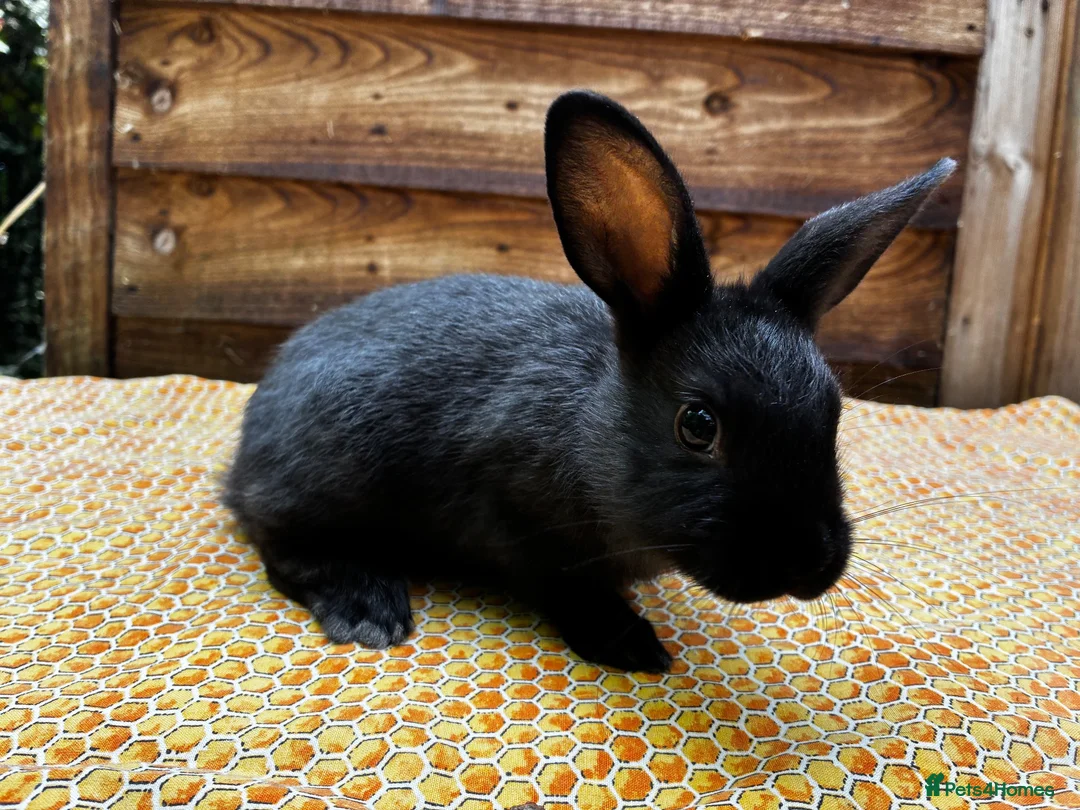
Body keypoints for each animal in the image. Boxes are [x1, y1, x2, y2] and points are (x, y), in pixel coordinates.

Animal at [225, 89, 955, 673]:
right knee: (280, 544)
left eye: (834, 412)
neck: (591, 427)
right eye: (698, 425)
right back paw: (367, 607)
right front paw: (632, 645)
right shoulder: (519, 521)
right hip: (329, 473)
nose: (809, 561)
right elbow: (566, 587)